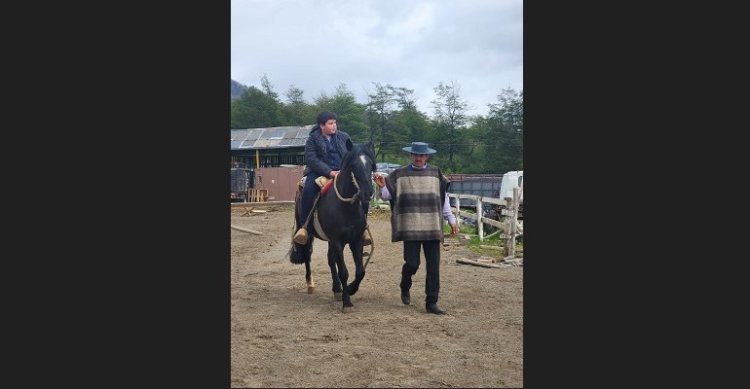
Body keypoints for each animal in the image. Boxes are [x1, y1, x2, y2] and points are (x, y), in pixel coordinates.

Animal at [290, 139, 378, 312]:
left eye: (371, 164)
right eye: (353, 165)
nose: (368, 193)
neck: (346, 207)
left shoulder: (356, 240)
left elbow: (360, 271)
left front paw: (350, 289)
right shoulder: (337, 241)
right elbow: (343, 271)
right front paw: (347, 302)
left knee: (330, 260)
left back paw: (337, 289)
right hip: (308, 233)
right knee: (307, 255)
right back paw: (310, 284)